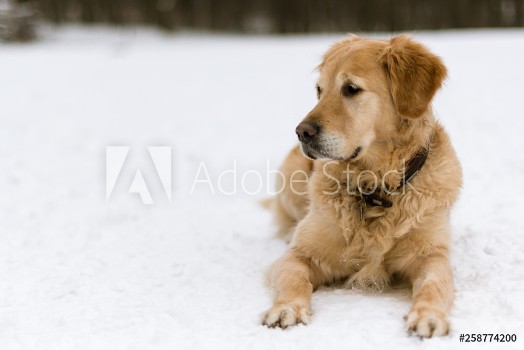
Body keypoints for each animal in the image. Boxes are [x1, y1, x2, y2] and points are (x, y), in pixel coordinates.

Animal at [264, 34, 460, 338]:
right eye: (319, 90)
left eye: (351, 89)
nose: (301, 132)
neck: (375, 187)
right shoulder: (301, 255)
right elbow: (294, 279)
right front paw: (287, 308)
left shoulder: (431, 256)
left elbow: (433, 284)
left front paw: (429, 315)